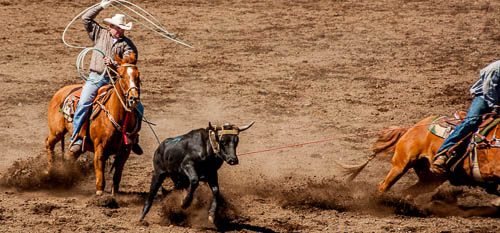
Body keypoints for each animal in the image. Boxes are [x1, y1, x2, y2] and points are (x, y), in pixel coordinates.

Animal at [45, 52, 141, 196]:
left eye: (138, 75)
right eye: (121, 75)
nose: (133, 98)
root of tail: (60, 91)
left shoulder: (126, 150)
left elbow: (117, 173)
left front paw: (114, 193)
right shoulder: (100, 147)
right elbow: (99, 168)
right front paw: (100, 192)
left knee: (71, 155)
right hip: (56, 131)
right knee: (48, 143)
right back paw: (50, 171)